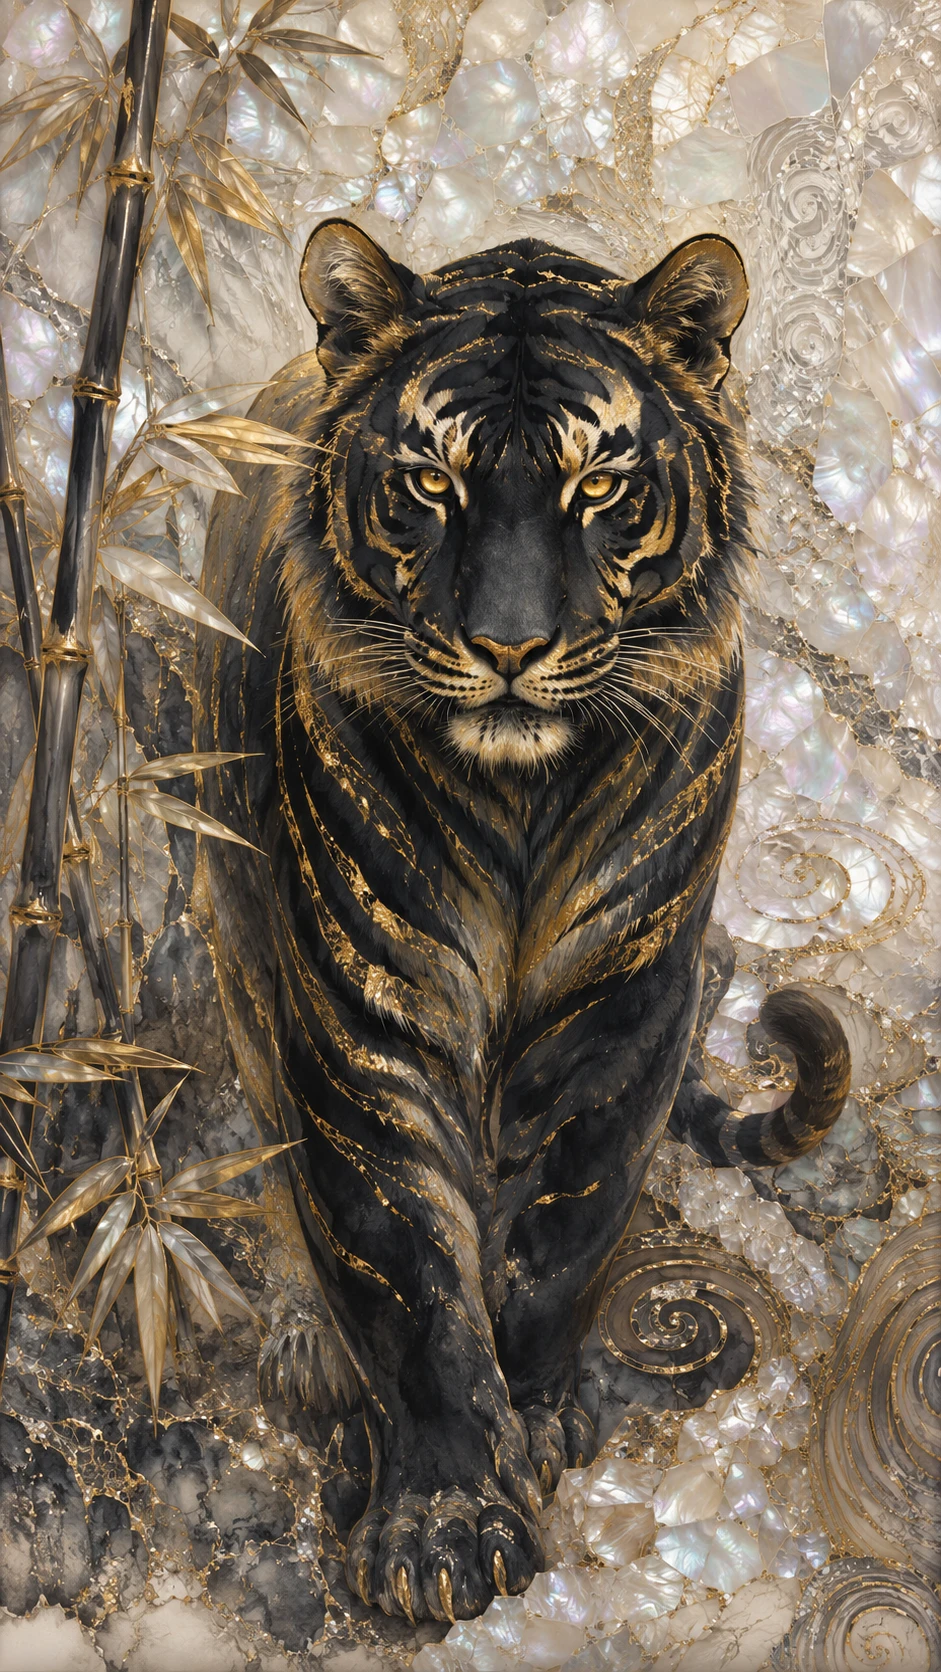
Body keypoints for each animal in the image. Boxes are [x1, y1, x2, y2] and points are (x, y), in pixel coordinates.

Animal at [193, 223, 850, 1626]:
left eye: (598, 484)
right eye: (429, 484)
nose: (506, 646)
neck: (522, 800)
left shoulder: (627, 1001)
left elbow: (566, 1227)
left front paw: (536, 1419)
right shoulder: (363, 1008)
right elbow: (398, 1259)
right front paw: (442, 1519)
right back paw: (310, 1352)